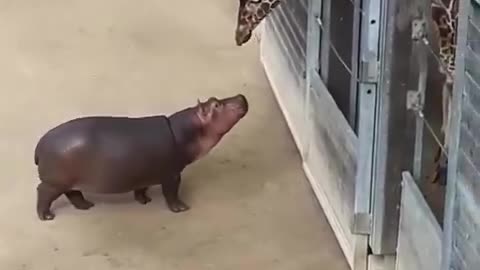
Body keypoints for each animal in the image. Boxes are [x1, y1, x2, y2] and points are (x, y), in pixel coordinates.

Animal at [33, 94, 249, 220]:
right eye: (216, 105)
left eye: (215, 99)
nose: (240, 95)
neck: (185, 131)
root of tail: (40, 144)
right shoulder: (172, 174)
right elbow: (171, 193)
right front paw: (181, 209)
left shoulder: (143, 173)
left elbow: (142, 188)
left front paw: (145, 201)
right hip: (54, 182)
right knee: (43, 193)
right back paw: (47, 216)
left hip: (67, 181)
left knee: (73, 193)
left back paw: (86, 206)